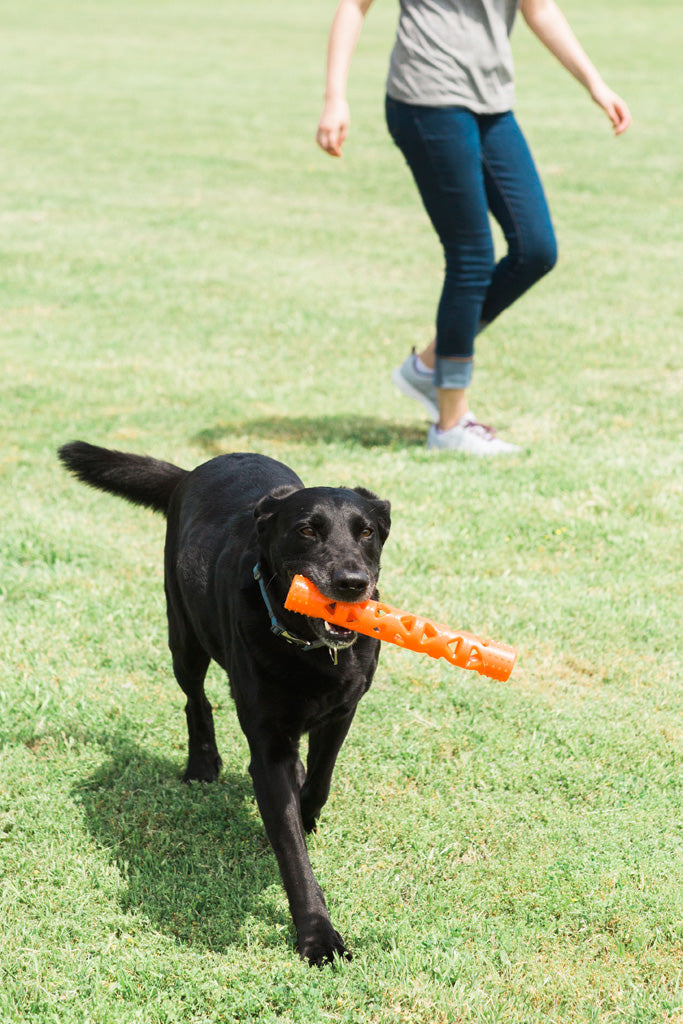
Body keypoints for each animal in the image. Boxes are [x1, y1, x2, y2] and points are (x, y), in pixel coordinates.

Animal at [58, 442, 389, 966]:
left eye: (366, 532)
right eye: (307, 529)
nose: (353, 582)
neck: (308, 647)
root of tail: (193, 470)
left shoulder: (341, 712)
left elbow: (318, 782)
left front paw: (305, 810)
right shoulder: (268, 745)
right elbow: (293, 856)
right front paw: (318, 938)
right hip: (184, 636)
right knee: (195, 702)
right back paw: (201, 764)